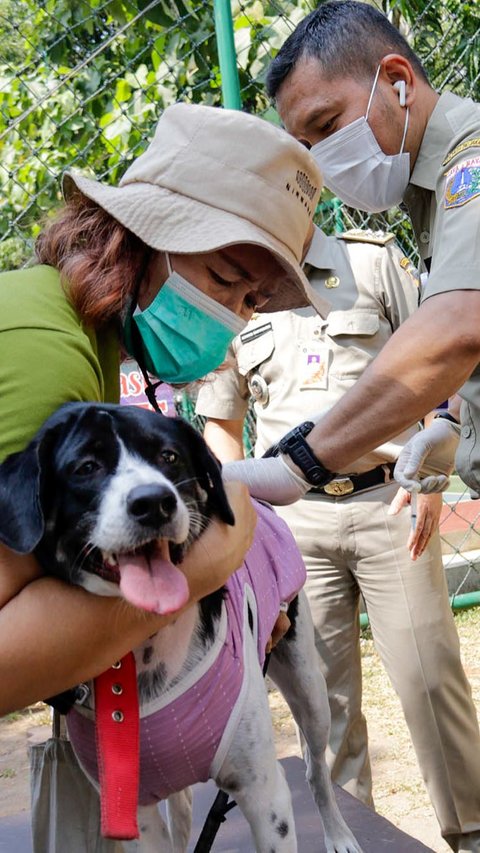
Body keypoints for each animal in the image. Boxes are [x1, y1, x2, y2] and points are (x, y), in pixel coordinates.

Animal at [0, 402, 360, 848]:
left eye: (168, 456)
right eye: (86, 467)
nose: (154, 502)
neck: (143, 654)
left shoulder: (264, 792)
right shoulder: (135, 812)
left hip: (308, 684)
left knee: (316, 766)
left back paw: (338, 834)